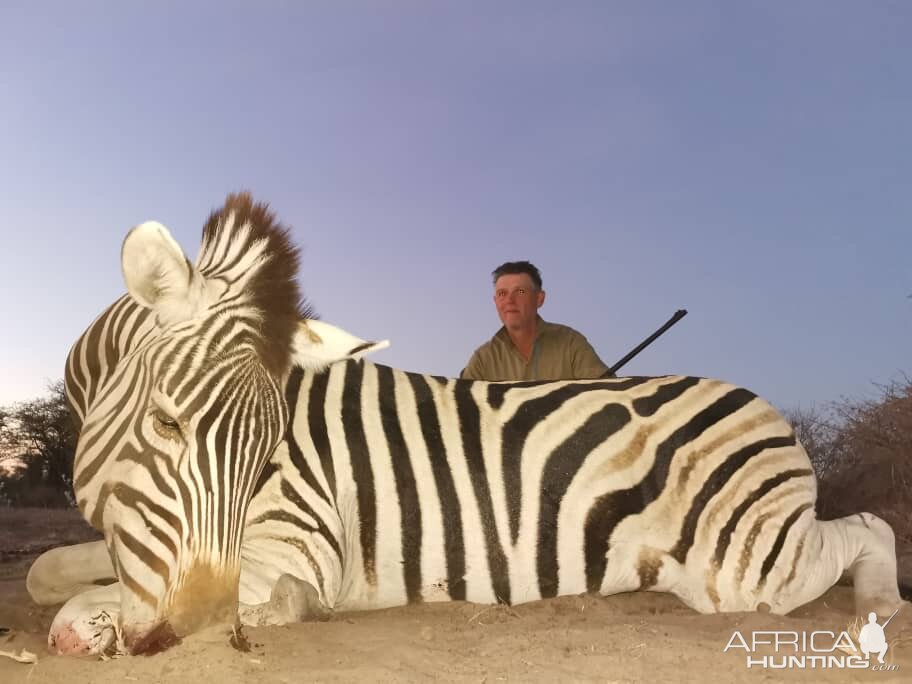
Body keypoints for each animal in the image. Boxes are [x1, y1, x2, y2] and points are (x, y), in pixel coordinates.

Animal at [25, 195, 900, 656]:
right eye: (166, 426)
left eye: (271, 454)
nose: (206, 634)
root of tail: (770, 412)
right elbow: (46, 573)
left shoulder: (292, 545)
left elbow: (79, 609)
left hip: (747, 568)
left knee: (868, 528)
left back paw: (881, 605)